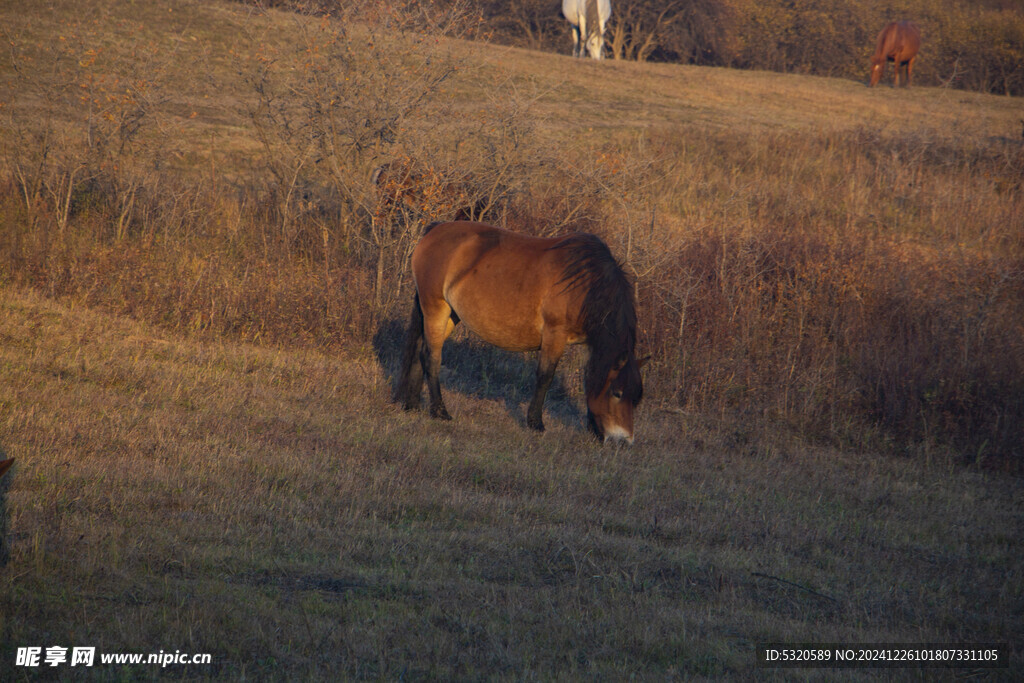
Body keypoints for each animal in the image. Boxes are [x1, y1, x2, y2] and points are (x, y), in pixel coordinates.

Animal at [395, 220, 643, 444]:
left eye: (635, 398)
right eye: (617, 393)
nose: (624, 441)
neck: (585, 285)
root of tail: (435, 229)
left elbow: (591, 378)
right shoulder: (555, 335)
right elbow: (545, 376)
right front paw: (535, 422)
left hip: (449, 315)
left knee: (419, 350)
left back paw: (412, 404)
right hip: (436, 309)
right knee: (432, 357)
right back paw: (439, 411)